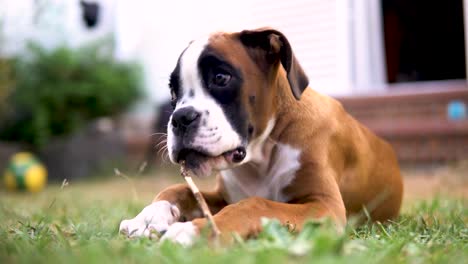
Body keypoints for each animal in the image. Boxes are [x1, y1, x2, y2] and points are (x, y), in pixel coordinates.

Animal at [119, 27, 402, 244]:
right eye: (173, 91)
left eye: (221, 77)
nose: (180, 118)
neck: (262, 155)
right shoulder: (223, 196)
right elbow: (178, 189)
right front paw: (147, 217)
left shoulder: (324, 205)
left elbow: (255, 204)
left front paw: (195, 232)